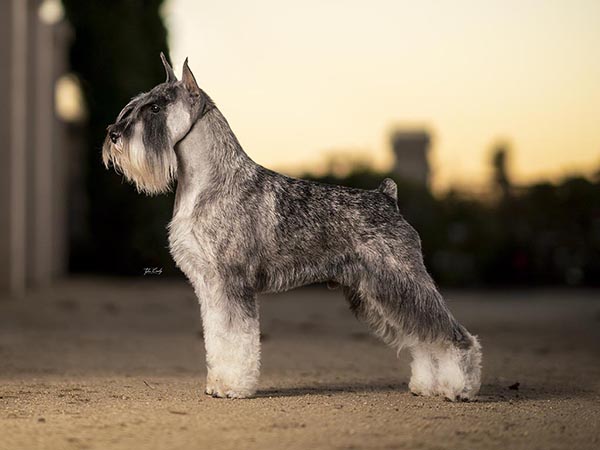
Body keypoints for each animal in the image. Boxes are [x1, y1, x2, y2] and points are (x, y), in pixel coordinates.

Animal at [101, 53, 480, 400]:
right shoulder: (210, 285)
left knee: (450, 333)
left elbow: (235, 338)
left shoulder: (232, 282)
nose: (113, 134)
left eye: (155, 108)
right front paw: (217, 382)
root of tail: (387, 197)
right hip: (376, 292)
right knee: (422, 337)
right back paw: (428, 385)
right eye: (136, 105)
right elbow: (216, 338)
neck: (208, 182)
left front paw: (232, 387)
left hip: (400, 281)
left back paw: (460, 387)